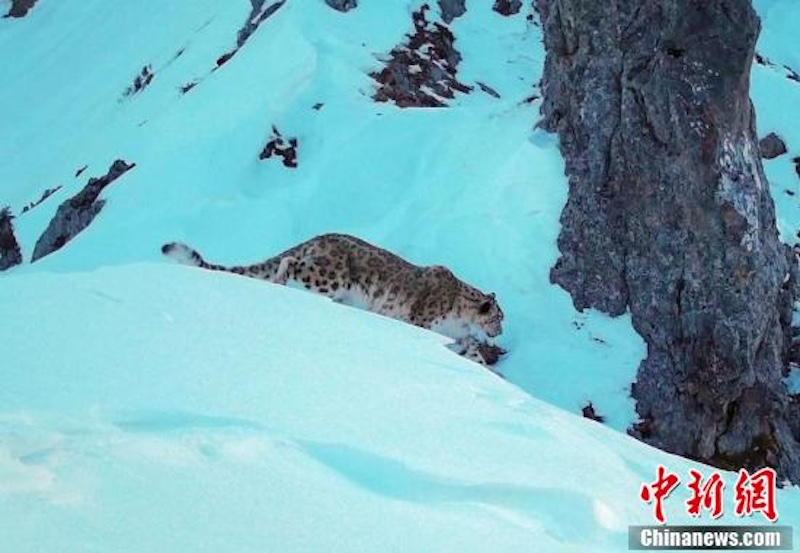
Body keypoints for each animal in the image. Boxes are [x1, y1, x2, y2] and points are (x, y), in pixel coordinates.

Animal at [159, 232, 504, 364]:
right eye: (499, 317)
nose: (500, 332)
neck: (461, 320)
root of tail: (318, 238)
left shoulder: (460, 336)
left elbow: (473, 352)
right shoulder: (423, 322)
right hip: (328, 277)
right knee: (293, 265)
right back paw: (283, 280)